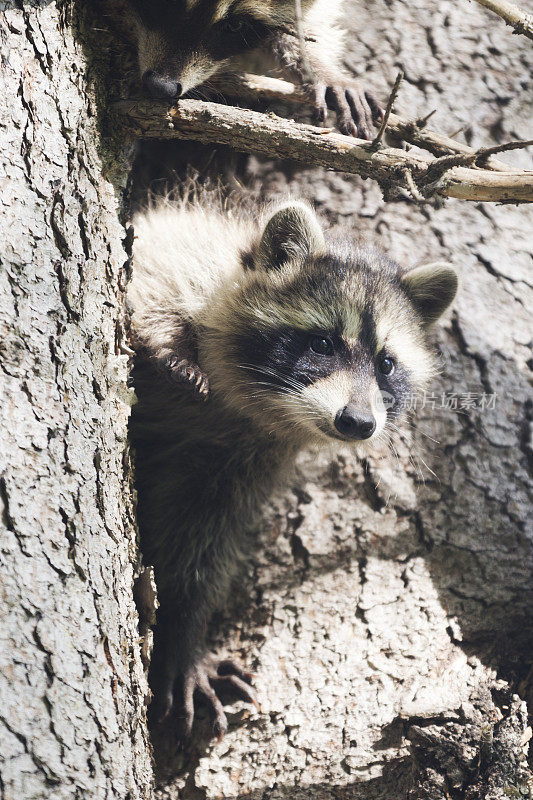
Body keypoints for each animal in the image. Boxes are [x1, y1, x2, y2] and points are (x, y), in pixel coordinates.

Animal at [129, 197, 458, 740]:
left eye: (386, 364)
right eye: (323, 344)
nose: (358, 422)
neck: (242, 403)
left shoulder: (239, 457)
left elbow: (200, 537)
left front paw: (184, 626)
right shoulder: (188, 258)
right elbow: (150, 275)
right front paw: (166, 342)